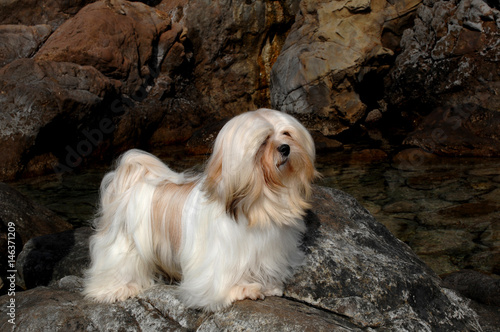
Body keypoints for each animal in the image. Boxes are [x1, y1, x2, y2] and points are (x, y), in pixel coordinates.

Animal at [83, 108, 318, 312]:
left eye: (286, 133)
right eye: (264, 141)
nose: (285, 148)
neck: (261, 200)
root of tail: (131, 182)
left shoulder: (268, 249)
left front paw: (268, 286)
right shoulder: (221, 256)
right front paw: (242, 289)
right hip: (123, 243)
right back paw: (117, 289)